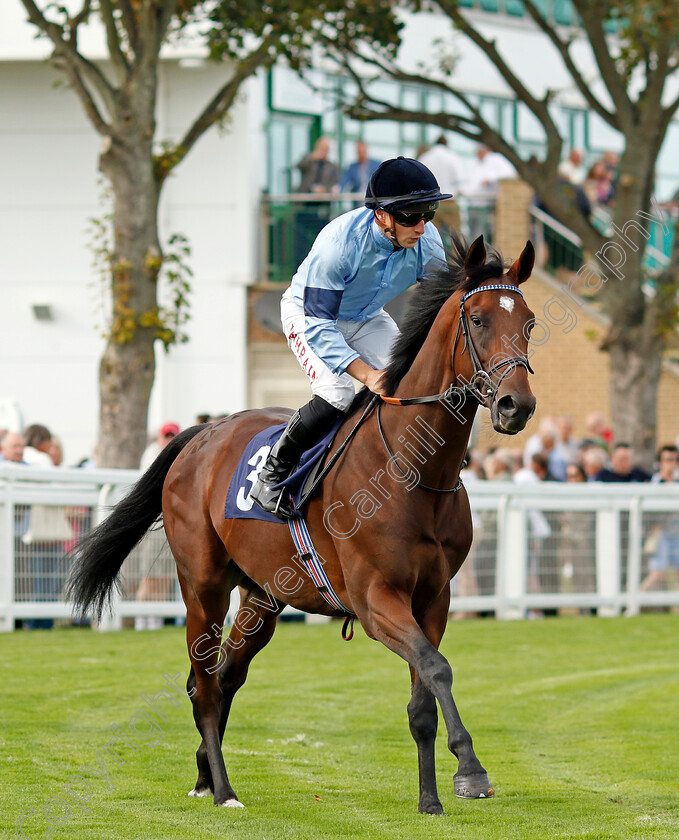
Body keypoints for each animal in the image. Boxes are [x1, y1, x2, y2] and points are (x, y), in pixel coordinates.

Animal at [67, 231, 536, 812]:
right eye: (477, 320)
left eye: (530, 322)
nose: (517, 405)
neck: (412, 470)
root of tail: (203, 434)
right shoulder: (375, 600)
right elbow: (437, 667)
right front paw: (470, 768)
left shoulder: (433, 598)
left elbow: (423, 697)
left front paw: (430, 798)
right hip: (202, 586)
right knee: (205, 685)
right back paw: (224, 790)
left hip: (263, 594)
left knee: (226, 676)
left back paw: (204, 774)